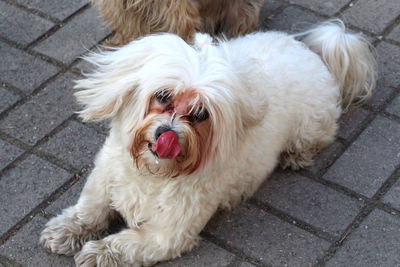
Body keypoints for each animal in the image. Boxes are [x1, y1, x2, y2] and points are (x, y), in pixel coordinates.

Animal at [39, 19, 376, 266]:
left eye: (200, 114)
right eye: (163, 95)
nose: (166, 134)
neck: (151, 174)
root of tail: (311, 52)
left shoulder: (167, 233)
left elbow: (127, 243)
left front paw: (100, 252)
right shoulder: (104, 177)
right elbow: (89, 208)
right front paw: (68, 229)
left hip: (311, 125)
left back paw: (296, 156)